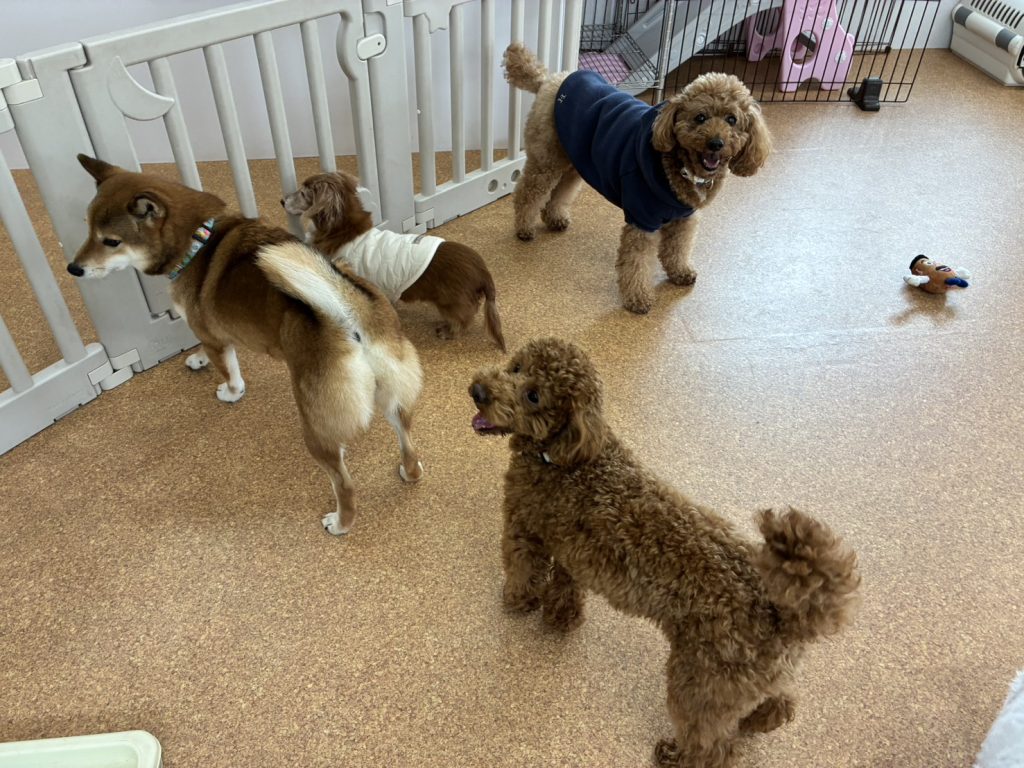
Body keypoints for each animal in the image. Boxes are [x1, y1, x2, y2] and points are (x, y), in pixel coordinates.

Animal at [68, 154, 425, 535]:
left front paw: (227, 391)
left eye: (110, 241)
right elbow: (202, 349)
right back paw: (409, 472)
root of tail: (346, 308)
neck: (199, 241)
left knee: (344, 484)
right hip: (394, 399)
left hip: (317, 429)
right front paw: (196, 359)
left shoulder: (213, 336)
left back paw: (340, 522)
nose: (73, 268)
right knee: (407, 442)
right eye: (88, 230)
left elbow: (230, 372)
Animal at [282, 171, 506, 351]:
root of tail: (483, 271)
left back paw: (448, 331)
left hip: (450, 302)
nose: (281, 201)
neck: (345, 231)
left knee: (464, 318)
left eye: (303, 192)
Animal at [469, 338, 859, 768]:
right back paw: (760, 720)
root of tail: (782, 614)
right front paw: (561, 618)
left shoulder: (524, 529)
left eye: (535, 395)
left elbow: (522, 570)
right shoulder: (569, 551)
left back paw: (676, 755)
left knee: (711, 746)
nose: (479, 391)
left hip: (699, 682)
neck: (563, 456)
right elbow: (564, 586)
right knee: (780, 703)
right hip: (747, 681)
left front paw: (516, 602)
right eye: (516, 366)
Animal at [503, 43, 772, 314]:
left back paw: (554, 217)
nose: (716, 143)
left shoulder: (684, 218)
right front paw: (638, 298)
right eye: (700, 117)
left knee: (560, 191)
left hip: (573, 160)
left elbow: (678, 248)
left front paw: (680, 272)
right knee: (528, 192)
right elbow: (637, 262)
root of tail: (550, 80)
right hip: (546, 159)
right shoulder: (642, 219)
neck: (677, 166)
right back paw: (524, 228)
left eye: (732, 120)